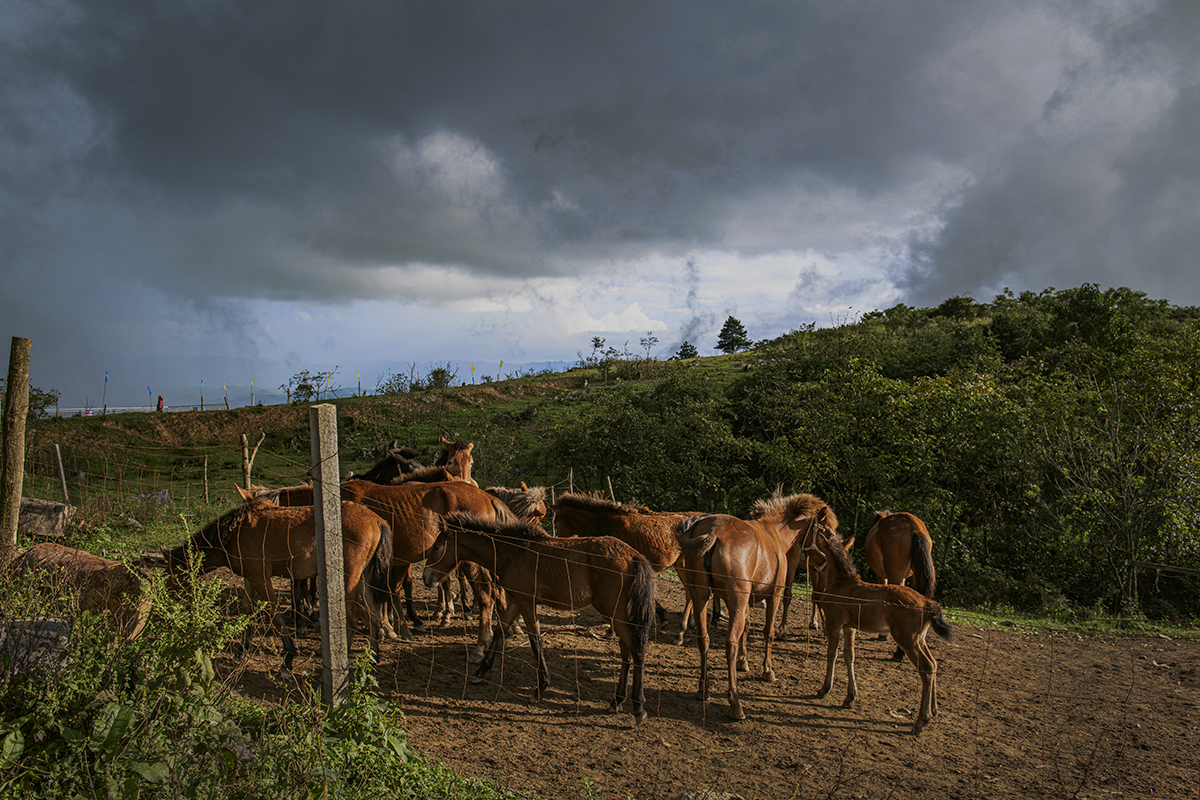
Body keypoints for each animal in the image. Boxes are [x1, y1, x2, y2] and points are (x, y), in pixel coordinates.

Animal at [159, 491, 391, 671]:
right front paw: (242, 649)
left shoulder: (261, 578)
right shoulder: (250, 577)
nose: (168, 602)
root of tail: (376, 520)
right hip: (364, 578)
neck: (234, 534)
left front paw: (289, 652)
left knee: (353, 615)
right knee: (373, 613)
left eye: (171, 576)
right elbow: (246, 609)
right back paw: (373, 655)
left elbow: (273, 611)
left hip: (349, 577)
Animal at [417, 513, 652, 724]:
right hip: (617, 614)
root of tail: (634, 556)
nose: (426, 577)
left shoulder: (526, 602)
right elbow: (500, 632)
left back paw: (638, 708)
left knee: (637, 650)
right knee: (626, 652)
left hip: (614, 612)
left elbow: (535, 640)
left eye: (436, 547)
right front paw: (481, 671)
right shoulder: (515, 601)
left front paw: (541, 687)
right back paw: (616, 701)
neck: (512, 552)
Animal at [672, 494, 840, 719]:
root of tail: (714, 532)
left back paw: (703, 689)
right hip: (735, 600)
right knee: (730, 644)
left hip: (702, 597)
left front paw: (744, 662)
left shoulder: (747, 600)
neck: (775, 533)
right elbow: (768, 632)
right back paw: (735, 703)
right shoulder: (773, 596)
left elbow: (747, 627)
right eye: (828, 533)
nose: (828, 565)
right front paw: (767, 671)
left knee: (704, 640)